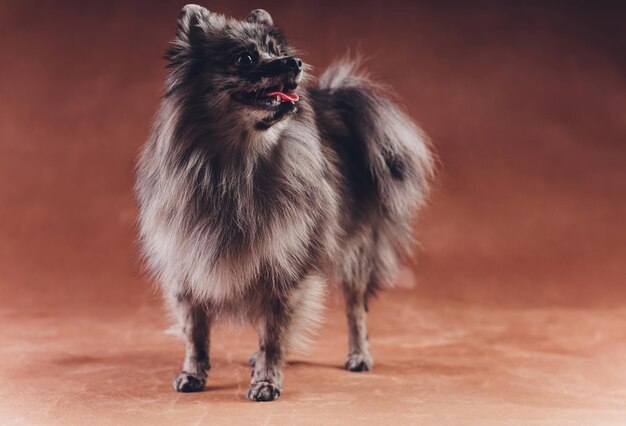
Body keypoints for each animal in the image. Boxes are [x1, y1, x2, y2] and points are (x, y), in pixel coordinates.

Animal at [134, 5, 432, 402]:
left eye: (277, 51)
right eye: (245, 58)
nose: (295, 62)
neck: (235, 165)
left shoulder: (283, 268)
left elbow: (273, 335)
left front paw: (266, 381)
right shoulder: (188, 269)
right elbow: (195, 334)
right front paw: (193, 374)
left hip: (356, 255)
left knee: (356, 311)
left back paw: (359, 356)